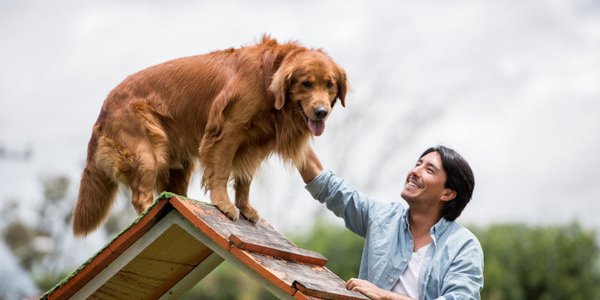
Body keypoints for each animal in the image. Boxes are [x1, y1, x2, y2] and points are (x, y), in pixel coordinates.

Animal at [72, 35, 350, 237]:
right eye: (306, 83)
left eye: (329, 84)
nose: (322, 112)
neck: (267, 81)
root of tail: (104, 109)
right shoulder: (227, 130)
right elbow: (221, 172)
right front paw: (225, 205)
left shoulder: (254, 145)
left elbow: (245, 180)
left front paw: (245, 207)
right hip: (148, 153)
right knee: (140, 195)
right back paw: (147, 212)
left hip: (178, 165)